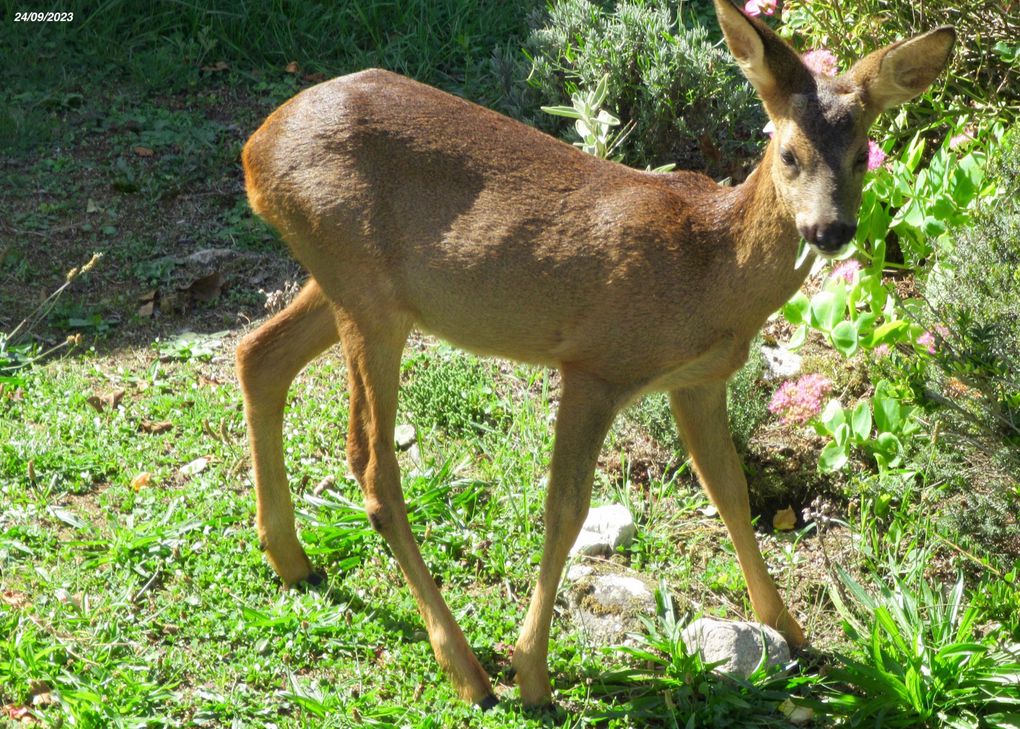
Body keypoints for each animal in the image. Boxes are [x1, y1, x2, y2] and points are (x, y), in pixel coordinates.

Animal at [238, 0, 954, 705]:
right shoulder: (597, 364)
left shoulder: (698, 380)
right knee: (370, 462)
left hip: (353, 284)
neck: (710, 269)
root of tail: (254, 150)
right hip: (365, 291)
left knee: (258, 355)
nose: (829, 230)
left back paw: (292, 562)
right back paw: (469, 674)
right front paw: (531, 674)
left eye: (863, 155)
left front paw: (793, 632)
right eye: (789, 153)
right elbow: (566, 509)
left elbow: (729, 489)